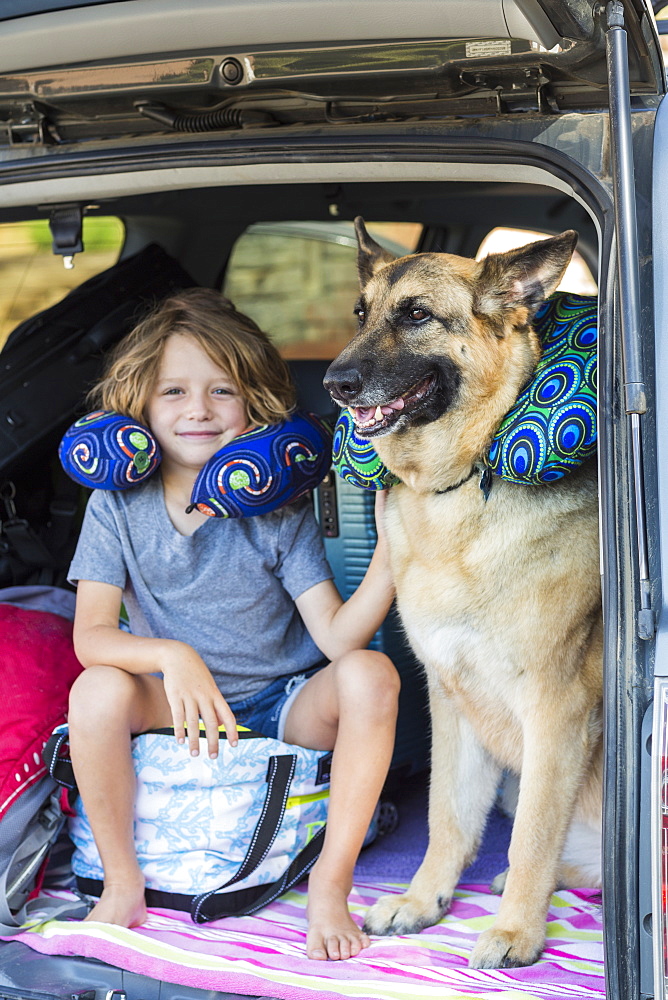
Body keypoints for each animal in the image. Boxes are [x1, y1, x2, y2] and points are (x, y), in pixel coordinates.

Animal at [326, 219, 604, 968]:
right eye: (360, 314)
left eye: (416, 315)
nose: (334, 384)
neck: (458, 487)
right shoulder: (450, 699)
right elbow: (447, 815)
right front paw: (425, 901)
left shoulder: (556, 711)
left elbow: (533, 832)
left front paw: (515, 933)